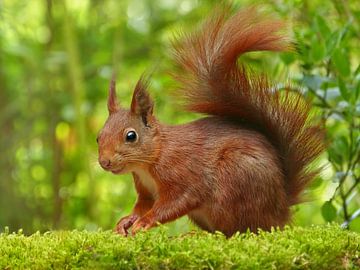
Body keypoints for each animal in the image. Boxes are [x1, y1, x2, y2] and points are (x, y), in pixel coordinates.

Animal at [97, 6, 324, 236]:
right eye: (99, 137)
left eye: (131, 136)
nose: (104, 162)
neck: (154, 156)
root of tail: (281, 210)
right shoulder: (146, 190)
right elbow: (143, 205)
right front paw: (126, 221)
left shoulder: (183, 173)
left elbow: (177, 201)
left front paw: (145, 221)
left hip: (234, 181)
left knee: (240, 229)